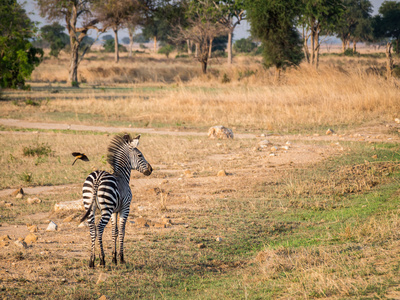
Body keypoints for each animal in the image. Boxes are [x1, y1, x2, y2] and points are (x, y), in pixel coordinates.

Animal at [79, 133, 152, 268]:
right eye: (140, 155)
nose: (151, 170)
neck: (122, 175)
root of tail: (97, 178)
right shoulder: (125, 208)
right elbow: (122, 231)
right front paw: (121, 258)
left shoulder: (114, 211)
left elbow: (114, 231)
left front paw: (114, 258)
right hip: (106, 209)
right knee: (99, 228)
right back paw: (102, 259)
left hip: (89, 205)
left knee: (92, 229)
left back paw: (91, 261)